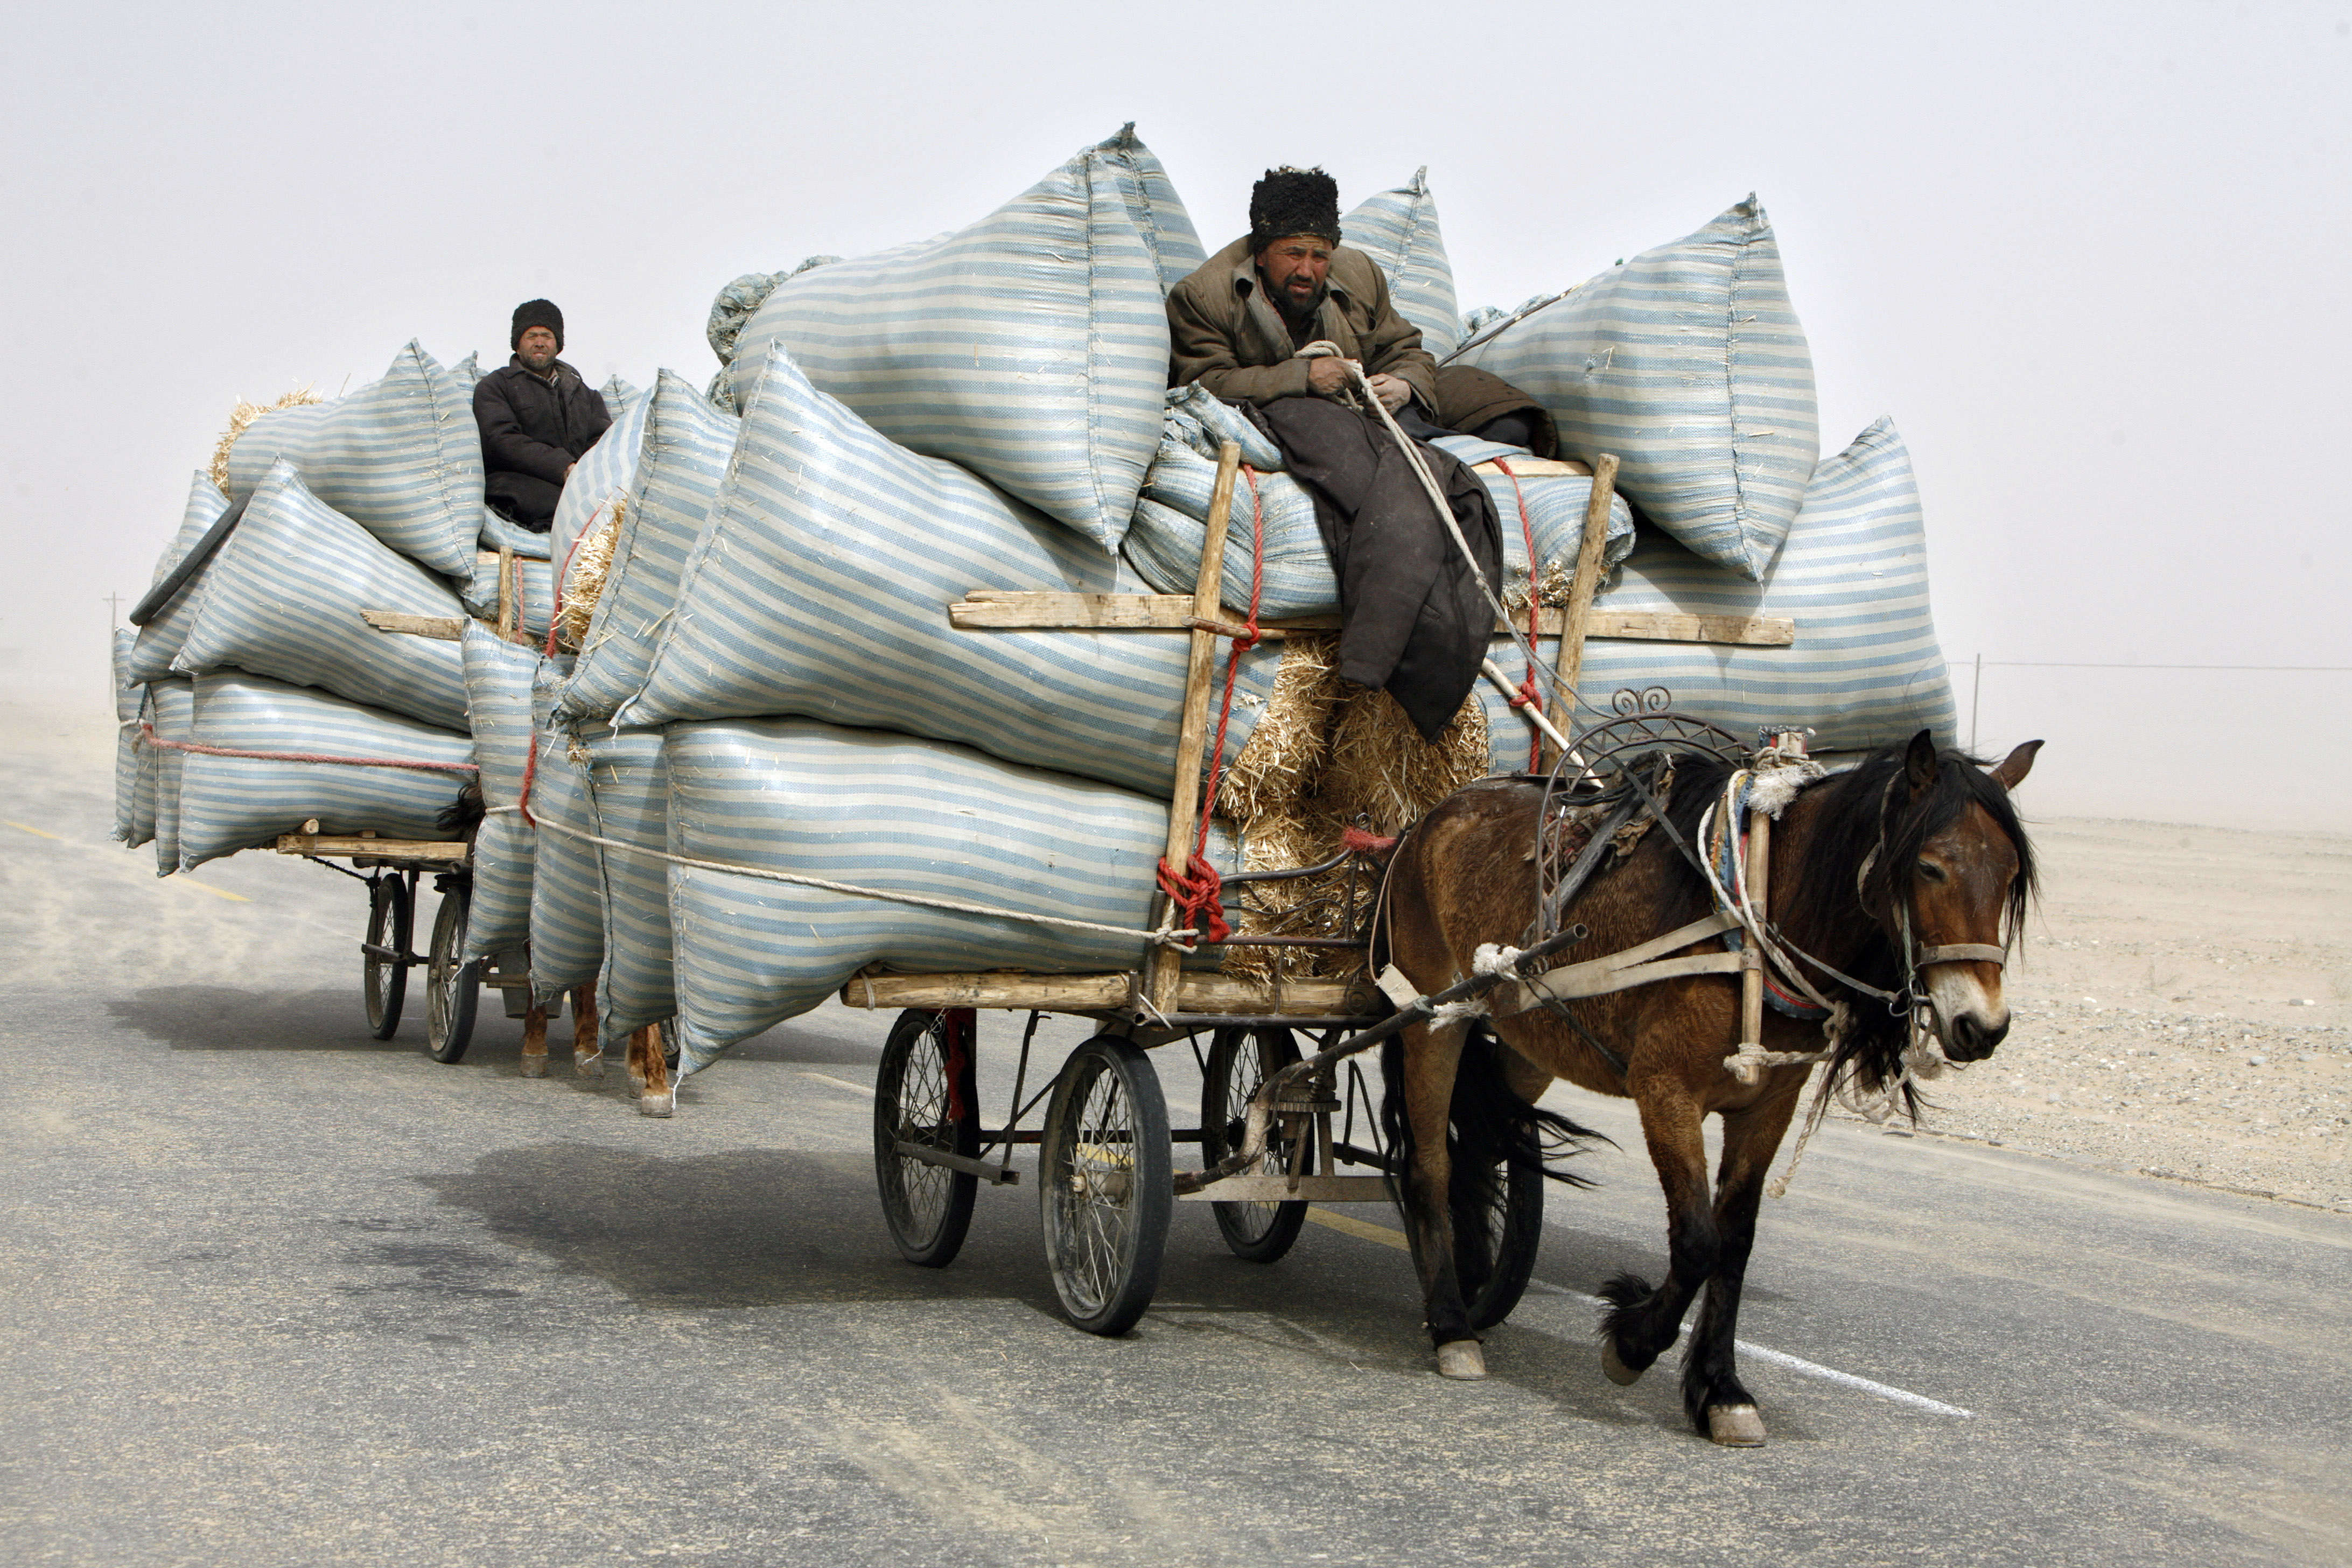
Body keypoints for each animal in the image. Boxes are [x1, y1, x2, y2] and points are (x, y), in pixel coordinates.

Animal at [1383, 738, 2032, 1448]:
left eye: (2009, 875)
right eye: (1929, 866)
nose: (1983, 1025)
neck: (1751, 921)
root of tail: (1431, 817)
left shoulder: (1767, 1108)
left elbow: (1734, 1241)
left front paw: (1722, 1388)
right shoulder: (1665, 1090)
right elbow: (1697, 1240)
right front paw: (1632, 1342)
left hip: (1528, 1038)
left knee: (1479, 1140)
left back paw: (1475, 1275)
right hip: (1433, 1019)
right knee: (1430, 1164)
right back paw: (1451, 1324)